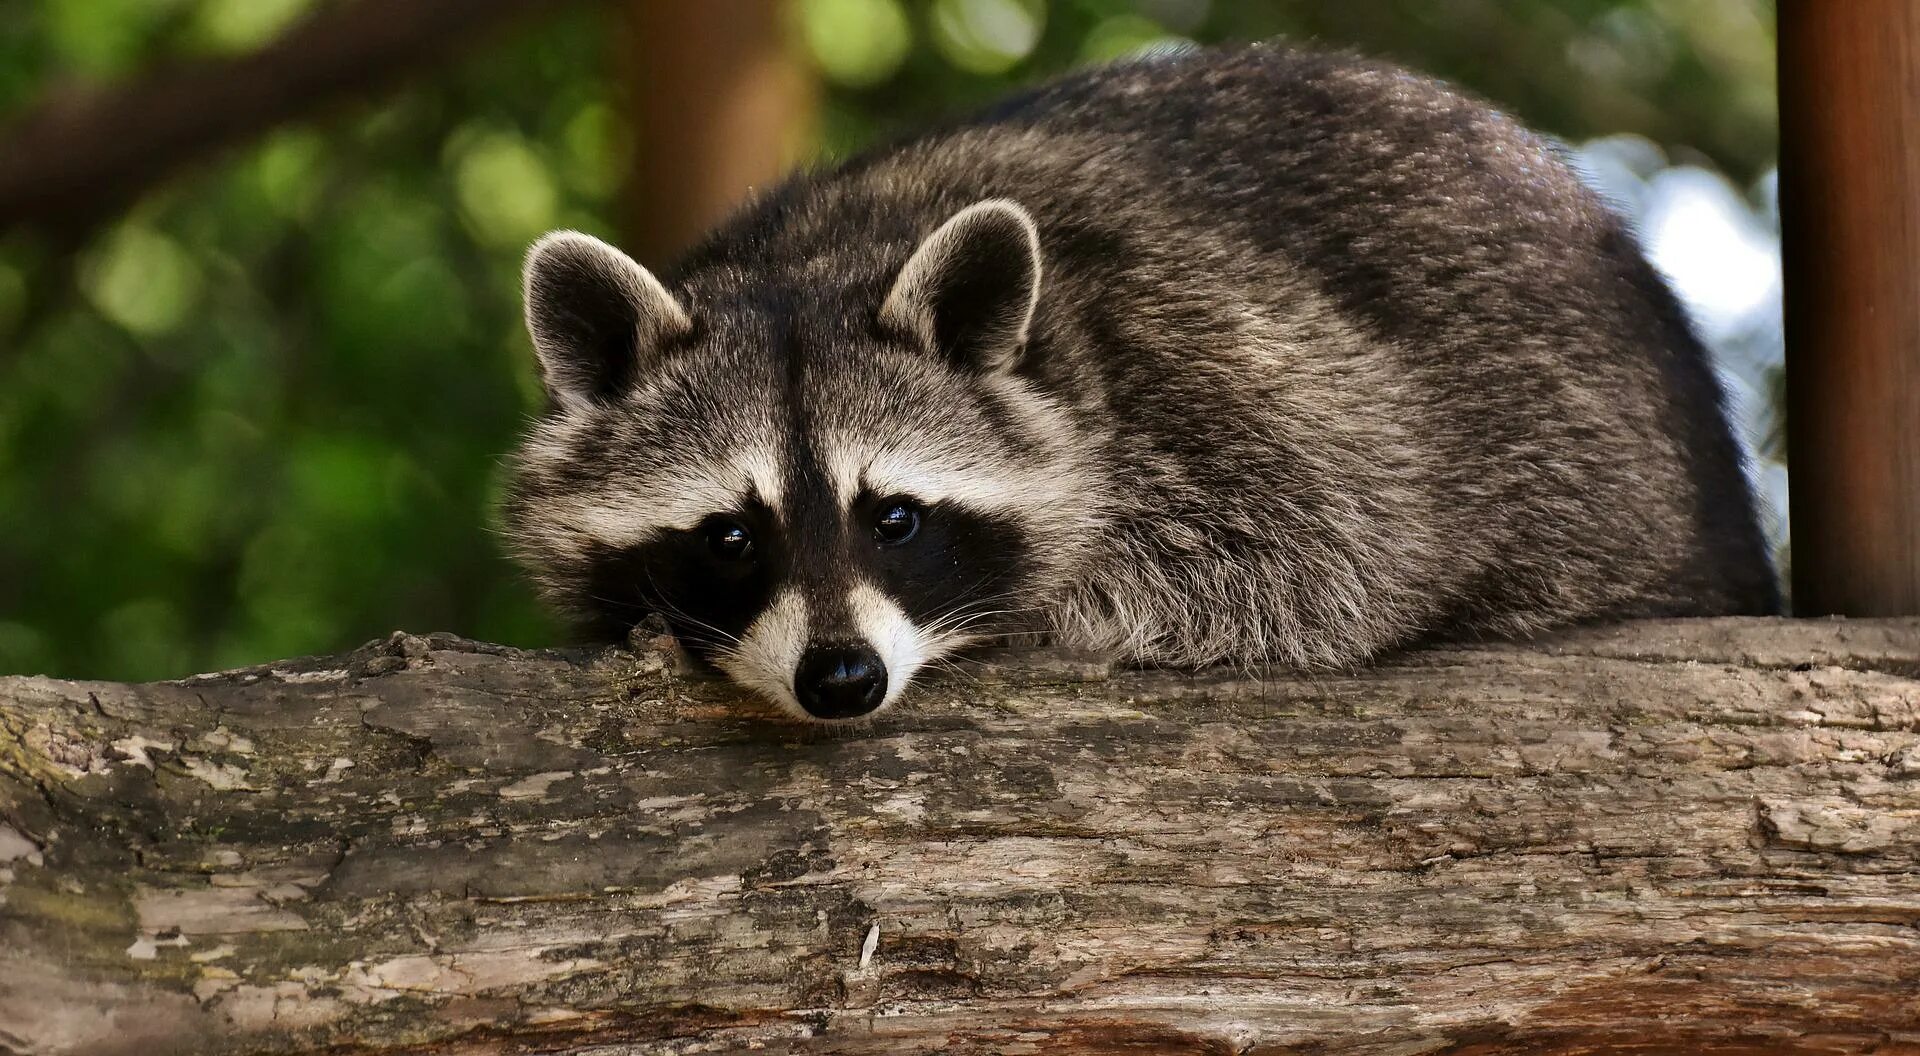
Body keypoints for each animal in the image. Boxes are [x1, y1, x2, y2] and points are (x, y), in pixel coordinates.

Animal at [503, 45, 1774, 725]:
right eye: (728, 535)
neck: (816, 258)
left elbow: (1330, 559)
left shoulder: (1230, 371)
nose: (843, 680)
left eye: (895, 518)